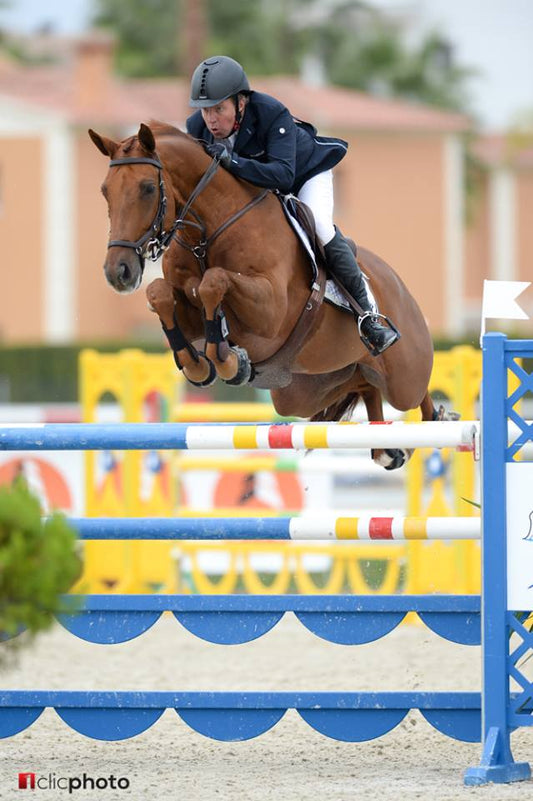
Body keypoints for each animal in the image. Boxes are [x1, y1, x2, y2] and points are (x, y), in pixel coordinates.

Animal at [89, 120, 442, 468]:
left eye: (148, 188)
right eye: (105, 190)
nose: (118, 272)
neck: (206, 234)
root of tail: (399, 286)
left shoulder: (270, 310)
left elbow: (214, 281)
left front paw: (228, 360)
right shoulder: (187, 308)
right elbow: (159, 293)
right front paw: (202, 364)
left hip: (403, 376)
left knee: (415, 393)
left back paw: (432, 418)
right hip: (304, 391)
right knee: (363, 383)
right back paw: (387, 450)